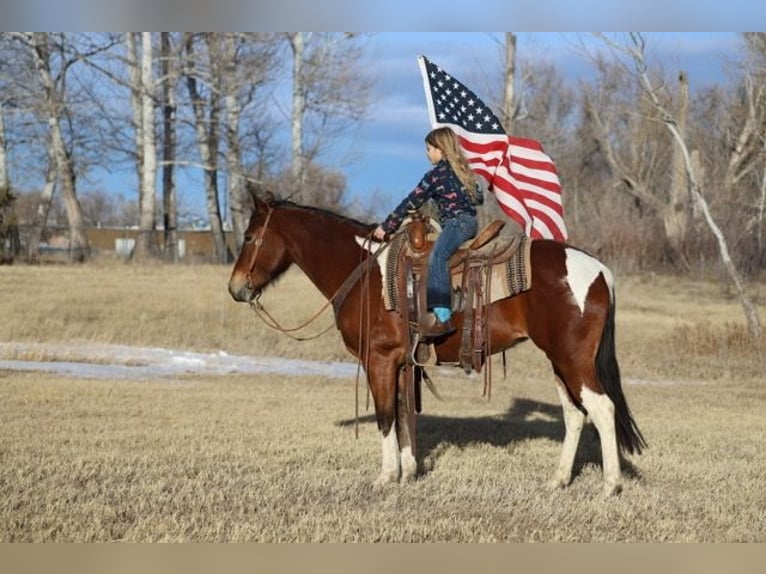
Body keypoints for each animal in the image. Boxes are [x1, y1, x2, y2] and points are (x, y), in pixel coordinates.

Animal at [230, 191, 648, 498]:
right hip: (560, 360)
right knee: (576, 413)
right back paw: (558, 480)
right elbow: (403, 413)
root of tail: (600, 271)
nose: (236, 289)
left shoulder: (378, 360)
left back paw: (610, 486)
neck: (363, 270)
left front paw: (385, 477)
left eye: (249, 237)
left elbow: (385, 415)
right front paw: (409, 472)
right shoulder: (402, 363)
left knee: (602, 408)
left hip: (572, 358)